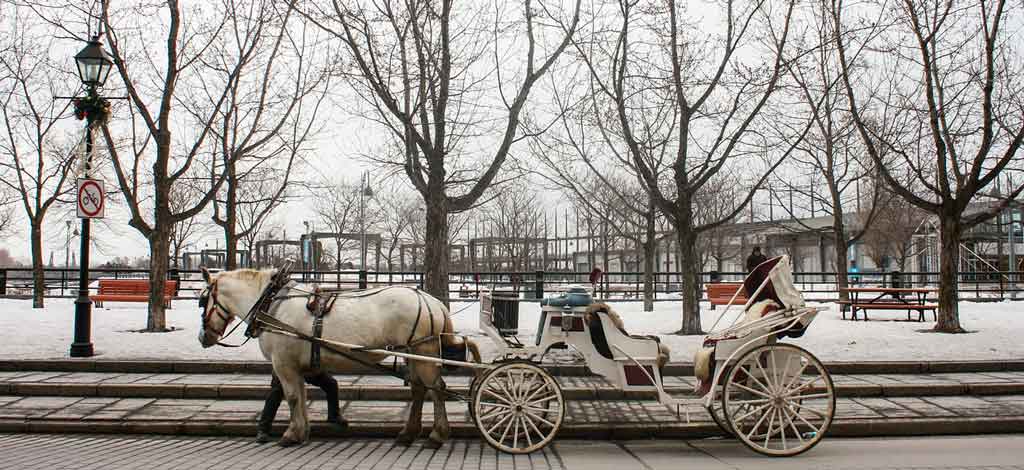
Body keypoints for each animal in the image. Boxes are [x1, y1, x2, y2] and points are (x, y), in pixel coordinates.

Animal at [195, 268, 479, 448]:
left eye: (202, 300)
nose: (203, 337)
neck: (271, 304)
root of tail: (432, 301)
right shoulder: (297, 366)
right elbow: (300, 395)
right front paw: (302, 431)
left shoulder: (284, 364)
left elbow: (292, 396)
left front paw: (291, 433)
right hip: (411, 352)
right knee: (420, 389)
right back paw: (408, 434)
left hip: (424, 352)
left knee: (435, 388)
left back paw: (437, 435)